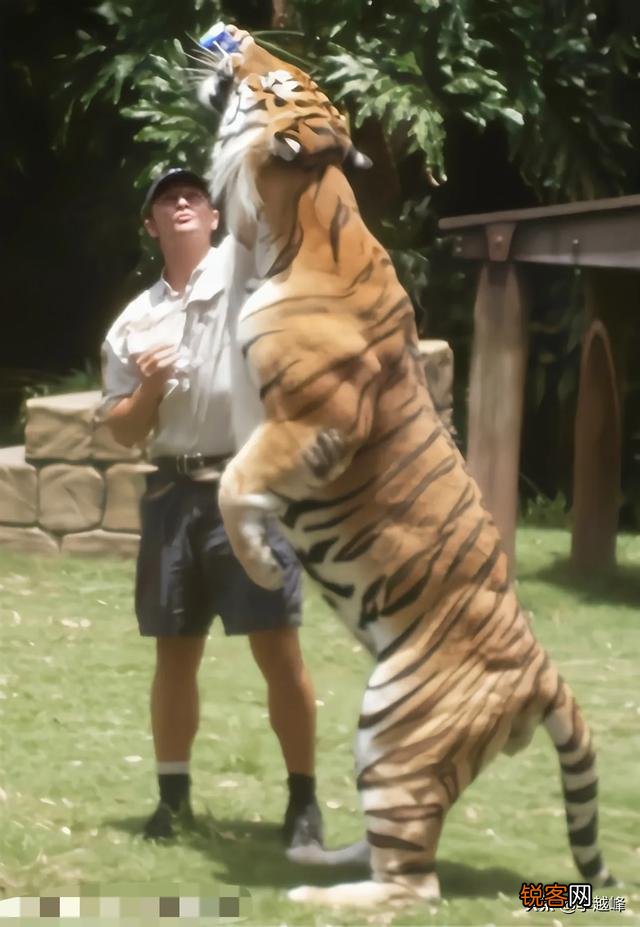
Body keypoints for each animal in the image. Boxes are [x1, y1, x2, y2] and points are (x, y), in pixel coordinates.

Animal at [194, 24, 615, 908]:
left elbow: (235, 483)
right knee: (396, 853)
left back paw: (316, 896)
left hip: (396, 727)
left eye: (275, 83)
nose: (234, 35)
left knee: (414, 888)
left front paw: (260, 562)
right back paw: (322, 856)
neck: (289, 216)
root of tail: (542, 671)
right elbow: (234, 477)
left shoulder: (314, 418)